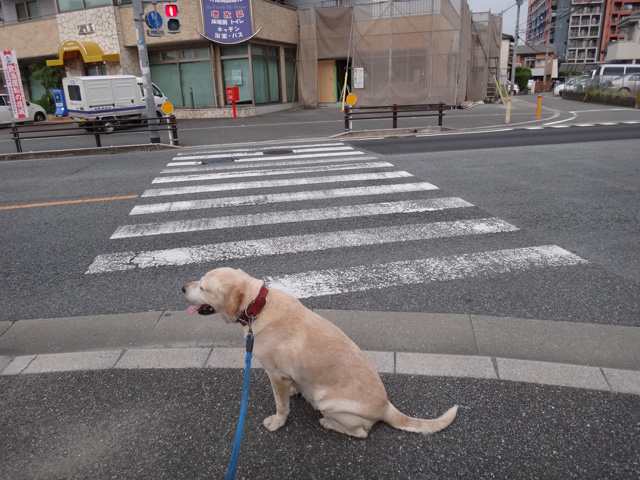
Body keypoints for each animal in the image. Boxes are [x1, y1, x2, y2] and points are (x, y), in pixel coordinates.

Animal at [182, 266, 458, 438]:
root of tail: (386, 406)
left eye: (203, 288)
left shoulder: (275, 375)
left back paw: (328, 422)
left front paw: (277, 422)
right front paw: (295, 390)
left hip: (329, 402)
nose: (183, 288)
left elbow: (281, 406)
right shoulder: (286, 375)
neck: (257, 306)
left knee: (361, 433)